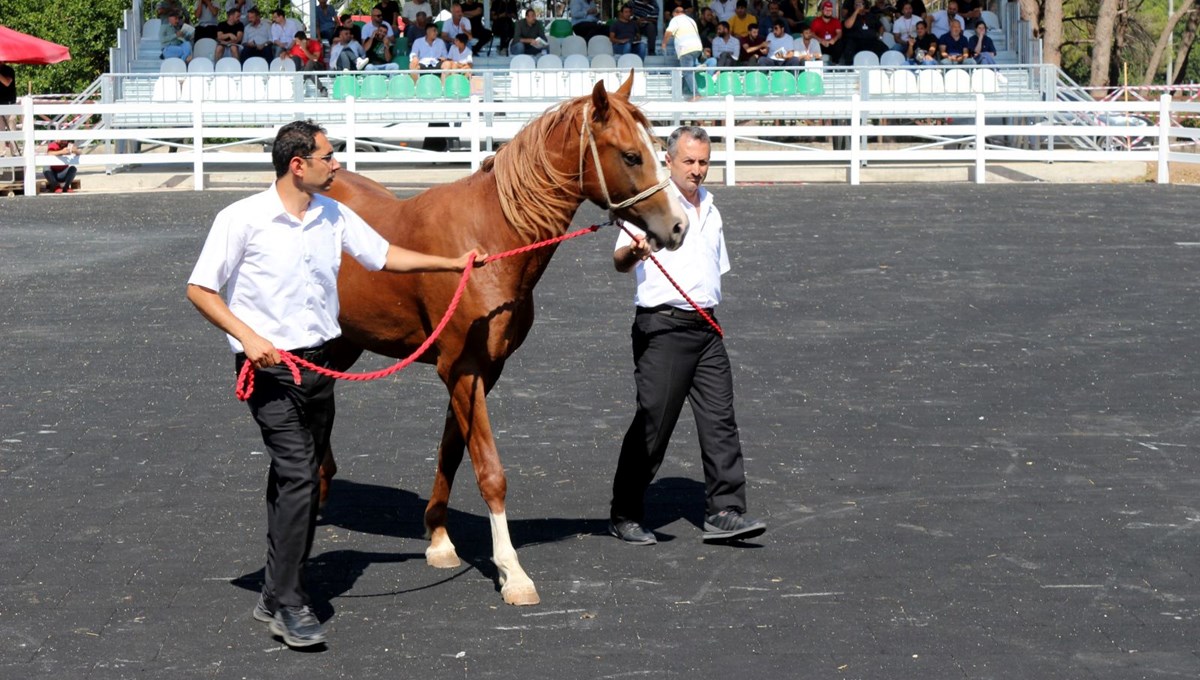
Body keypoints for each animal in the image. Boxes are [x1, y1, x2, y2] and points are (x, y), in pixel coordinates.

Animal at [321, 75, 686, 606]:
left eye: (658, 149)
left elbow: (452, 451)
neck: (489, 240)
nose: (678, 226)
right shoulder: (461, 370)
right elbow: (490, 471)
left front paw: (439, 539)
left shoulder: (482, 371)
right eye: (631, 156)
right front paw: (512, 571)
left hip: (345, 342)